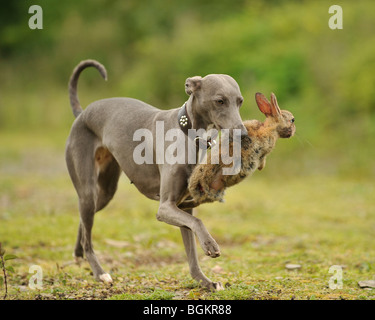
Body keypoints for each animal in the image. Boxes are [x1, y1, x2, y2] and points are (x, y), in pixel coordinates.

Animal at [66, 58, 248, 292]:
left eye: (240, 101)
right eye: (220, 101)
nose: (243, 134)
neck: (188, 134)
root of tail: (82, 113)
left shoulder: (183, 207)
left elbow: (192, 252)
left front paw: (205, 282)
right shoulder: (165, 207)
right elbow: (197, 223)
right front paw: (210, 245)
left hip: (105, 192)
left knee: (84, 223)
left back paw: (78, 253)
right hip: (88, 189)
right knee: (88, 234)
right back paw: (100, 272)